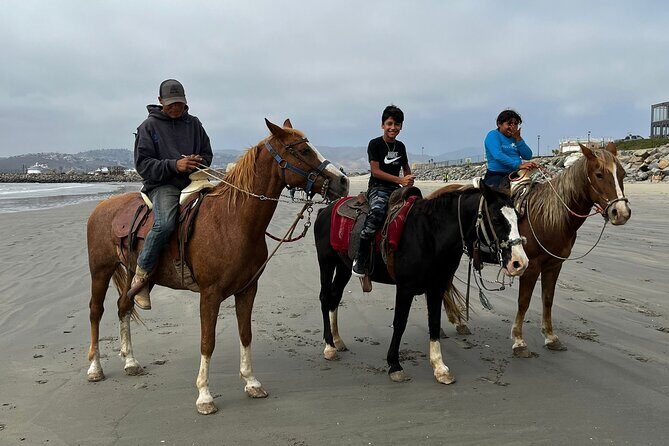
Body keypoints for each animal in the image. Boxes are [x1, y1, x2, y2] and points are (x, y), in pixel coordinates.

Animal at [86, 119, 349, 415]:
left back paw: (130, 361)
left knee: (124, 305)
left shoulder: (248, 289)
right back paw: (95, 367)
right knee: (96, 311)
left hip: (138, 275)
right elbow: (207, 342)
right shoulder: (209, 295)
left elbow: (245, 334)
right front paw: (204, 395)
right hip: (100, 271)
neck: (233, 221)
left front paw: (251, 382)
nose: (343, 181)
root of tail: (102, 207)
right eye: (303, 150)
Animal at [314, 181, 529, 383]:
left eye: (518, 217)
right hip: (326, 262)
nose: (520, 263)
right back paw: (329, 346)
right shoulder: (405, 288)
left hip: (343, 267)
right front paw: (395, 365)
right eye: (496, 219)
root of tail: (324, 210)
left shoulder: (437, 287)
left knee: (335, 298)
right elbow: (399, 322)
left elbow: (434, 322)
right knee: (325, 298)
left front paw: (439, 368)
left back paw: (337, 340)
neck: (430, 234)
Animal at [510, 143, 632, 357]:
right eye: (599, 174)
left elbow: (548, 299)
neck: (547, 217)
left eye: (622, 174)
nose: (621, 213)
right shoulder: (530, 266)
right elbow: (523, 301)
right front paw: (519, 341)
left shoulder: (554, 264)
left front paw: (550, 337)